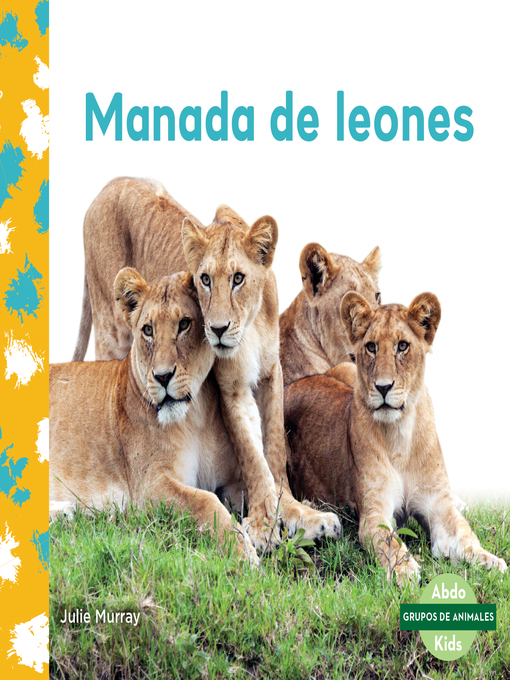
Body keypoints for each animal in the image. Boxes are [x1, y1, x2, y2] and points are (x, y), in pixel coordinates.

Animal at [51, 269, 259, 563]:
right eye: (148, 330)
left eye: (184, 324)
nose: (162, 377)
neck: (195, 417)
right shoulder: (149, 486)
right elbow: (207, 502)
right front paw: (242, 553)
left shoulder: (233, 481)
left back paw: (64, 512)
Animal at [73, 177, 341, 549]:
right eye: (205, 279)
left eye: (238, 278)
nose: (217, 329)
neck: (251, 325)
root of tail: (107, 186)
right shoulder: (232, 388)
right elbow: (253, 458)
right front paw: (263, 525)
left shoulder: (271, 375)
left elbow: (274, 452)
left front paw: (300, 515)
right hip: (111, 327)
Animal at [285, 291, 508, 584]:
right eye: (371, 347)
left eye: (402, 346)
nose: (383, 387)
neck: (400, 433)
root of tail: (297, 382)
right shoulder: (374, 511)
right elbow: (387, 539)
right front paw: (404, 569)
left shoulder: (437, 505)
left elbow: (466, 535)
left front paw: (491, 561)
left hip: (345, 368)